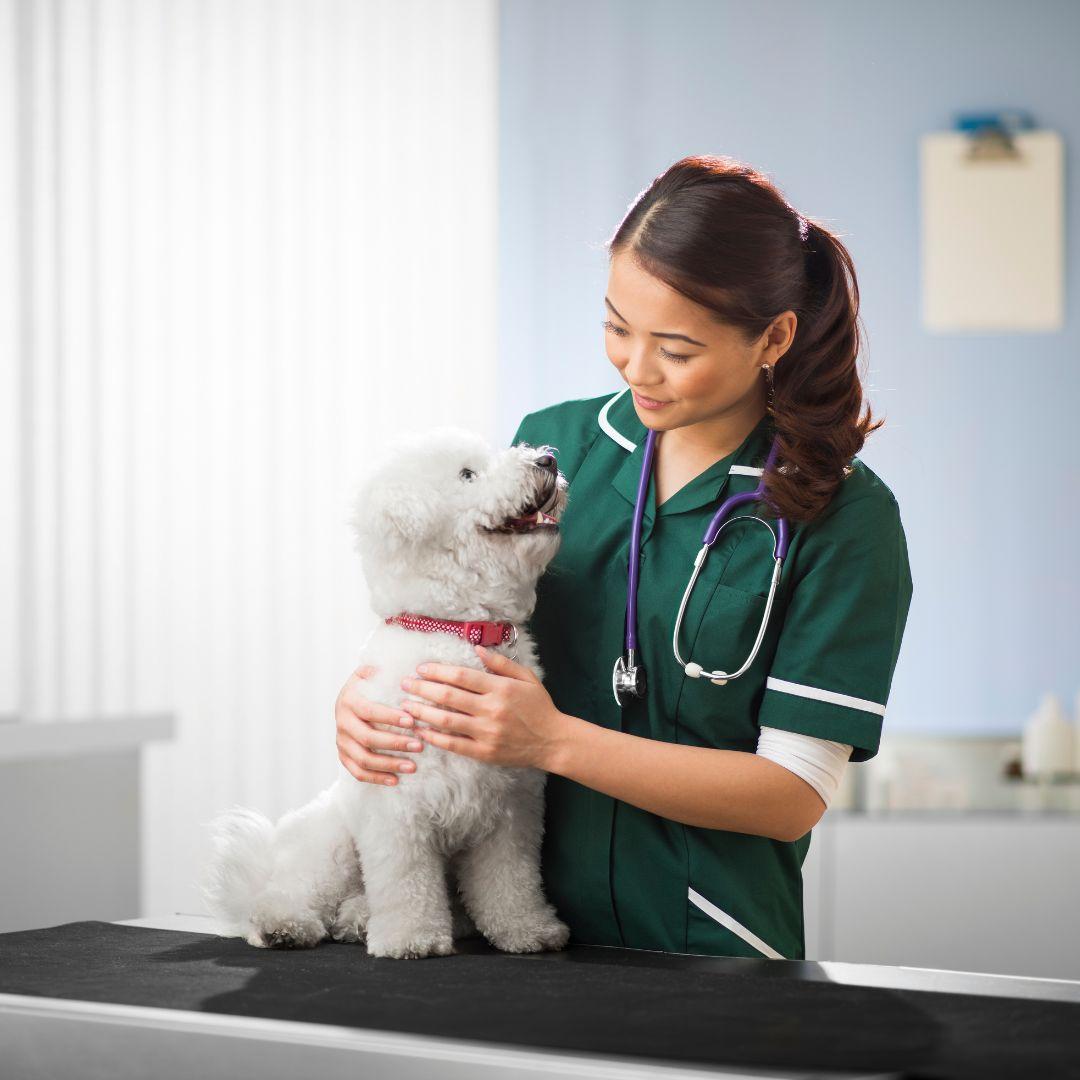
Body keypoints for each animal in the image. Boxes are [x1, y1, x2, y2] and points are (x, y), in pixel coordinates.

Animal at [203, 425, 574, 959]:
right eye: (467, 474)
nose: (547, 461)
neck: (457, 630)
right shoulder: (397, 807)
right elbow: (406, 883)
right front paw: (410, 937)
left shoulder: (512, 812)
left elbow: (512, 882)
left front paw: (527, 930)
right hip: (332, 844)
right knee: (288, 893)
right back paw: (284, 925)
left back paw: (359, 921)